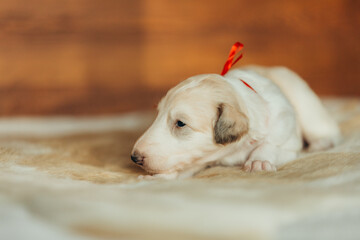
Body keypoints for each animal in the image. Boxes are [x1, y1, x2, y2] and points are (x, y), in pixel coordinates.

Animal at [131, 64, 340, 179]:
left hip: (303, 101)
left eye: (180, 123)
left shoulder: (287, 138)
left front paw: (259, 161)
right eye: (158, 114)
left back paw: (322, 143)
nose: (134, 157)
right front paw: (160, 177)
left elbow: (270, 145)